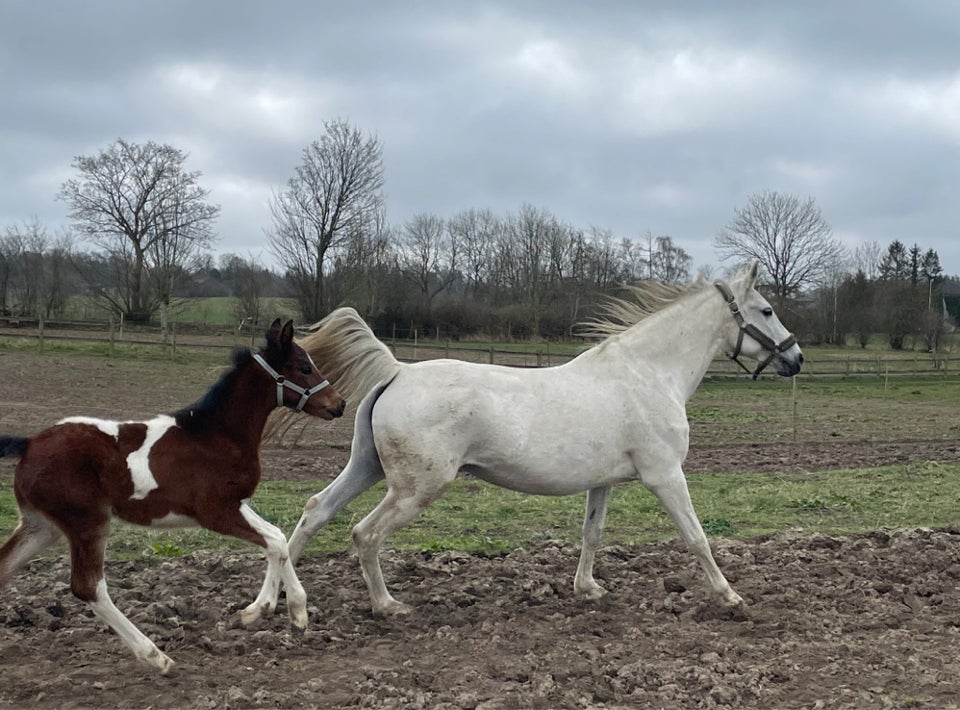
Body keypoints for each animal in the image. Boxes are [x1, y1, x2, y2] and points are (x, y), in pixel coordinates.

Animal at [0, 320, 344, 676]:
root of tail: (28, 444)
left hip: (42, 527)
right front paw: (260, 612)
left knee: (4, 568)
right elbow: (275, 542)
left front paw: (293, 613)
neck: (215, 436)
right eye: (305, 367)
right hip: (86, 523)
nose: (339, 404)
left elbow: (277, 537)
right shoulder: (214, 512)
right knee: (89, 586)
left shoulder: (236, 504)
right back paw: (156, 656)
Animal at [280, 266, 804, 616]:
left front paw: (588, 589)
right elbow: (696, 537)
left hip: (366, 468)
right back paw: (387, 605)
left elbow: (592, 534)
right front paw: (730, 596)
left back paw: (286, 602)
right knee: (364, 533)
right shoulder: (665, 475)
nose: (796, 357)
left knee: (315, 511)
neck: (649, 374)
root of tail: (398, 371)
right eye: (766, 309)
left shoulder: (604, 482)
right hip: (415, 488)